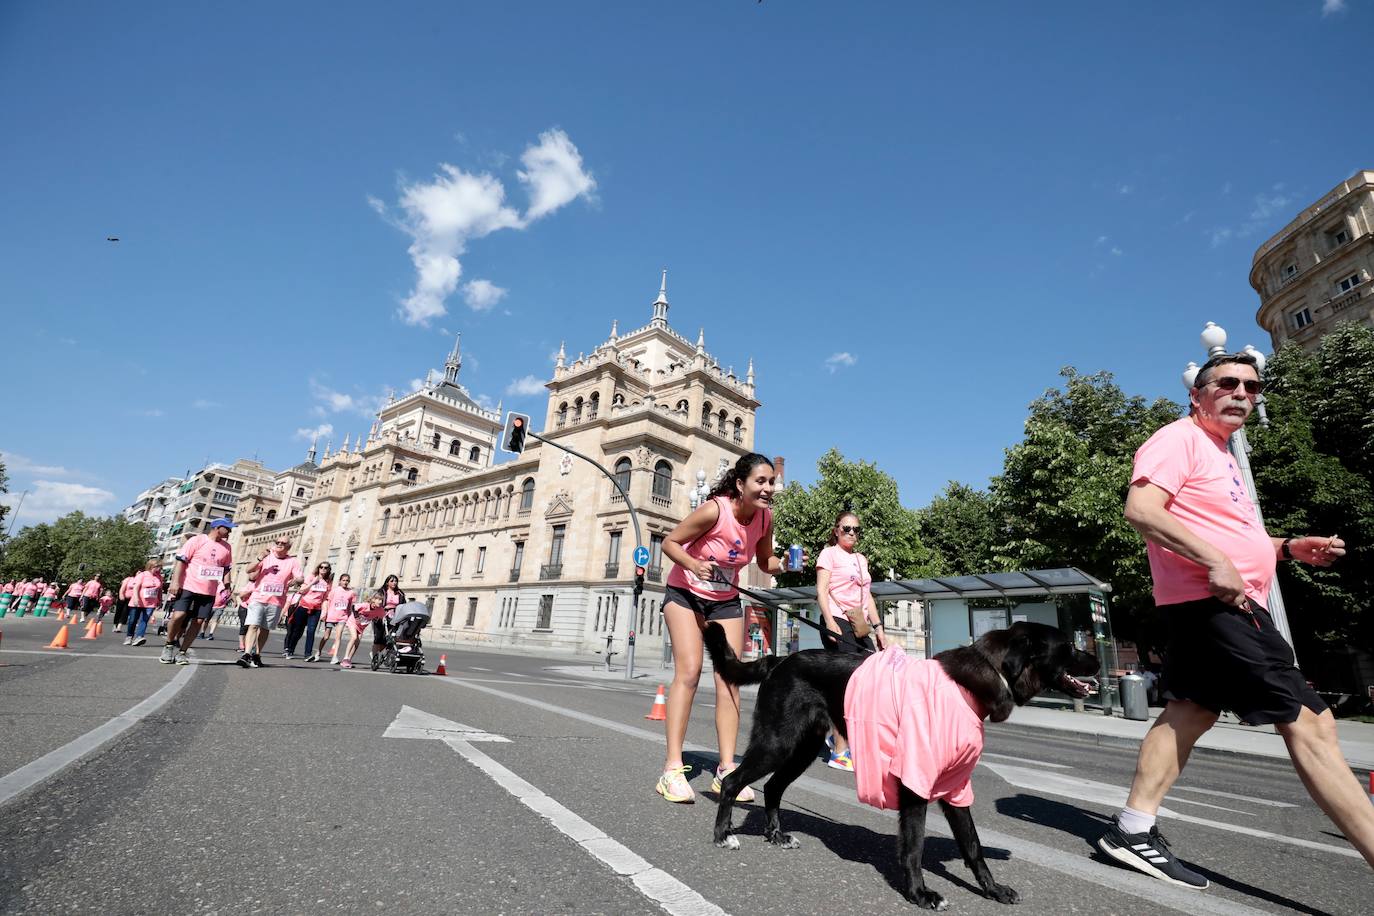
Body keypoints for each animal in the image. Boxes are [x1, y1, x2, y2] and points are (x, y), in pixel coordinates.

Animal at [703, 620, 1099, 911]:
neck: (984, 675)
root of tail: (779, 659)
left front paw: (993, 890)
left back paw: (776, 835)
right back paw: (723, 835)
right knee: (734, 781)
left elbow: (973, 846)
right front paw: (920, 894)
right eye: (1068, 647)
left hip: (801, 748)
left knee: (772, 786)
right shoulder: (914, 782)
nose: (1095, 657)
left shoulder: (956, 786)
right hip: (777, 742)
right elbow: (914, 846)